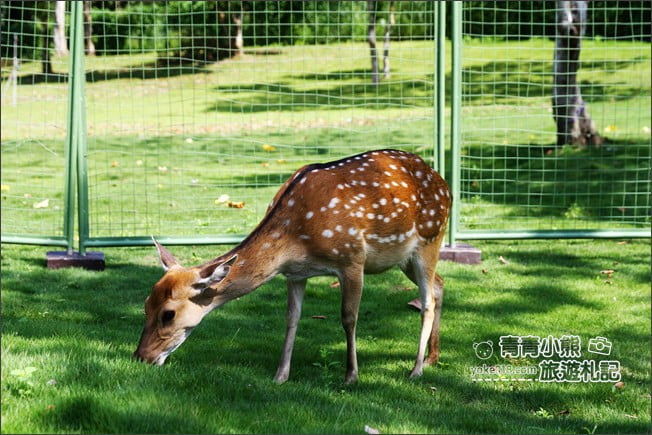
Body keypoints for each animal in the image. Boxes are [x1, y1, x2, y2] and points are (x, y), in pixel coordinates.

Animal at [134, 149, 451, 384]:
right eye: (145, 304)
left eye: (168, 314)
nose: (140, 356)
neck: (296, 237)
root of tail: (444, 183)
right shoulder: (295, 273)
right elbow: (291, 318)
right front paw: (280, 375)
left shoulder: (352, 258)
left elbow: (348, 317)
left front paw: (351, 376)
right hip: (403, 258)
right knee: (439, 284)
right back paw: (433, 357)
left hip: (430, 240)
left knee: (427, 301)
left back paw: (416, 369)